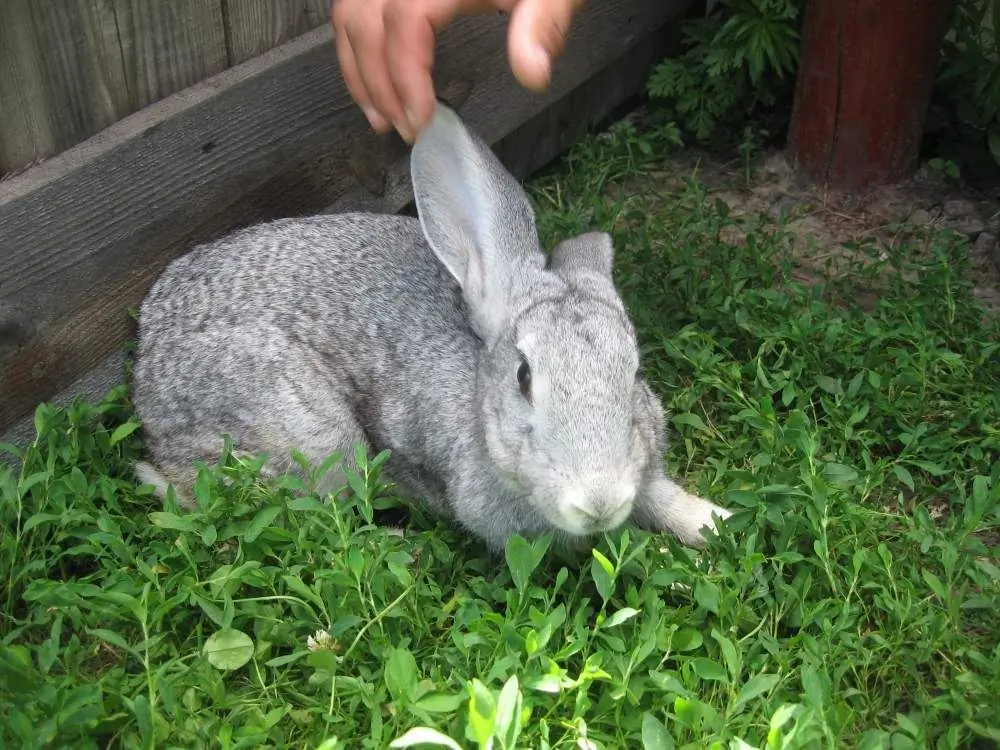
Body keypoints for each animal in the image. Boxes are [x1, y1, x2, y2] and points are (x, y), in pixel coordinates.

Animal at [129, 103, 732, 552]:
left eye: (634, 372)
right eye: (523, 376)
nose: (599, 502)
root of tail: (145, 367)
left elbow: (661, 496)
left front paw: (715, 522)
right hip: (316, 436)